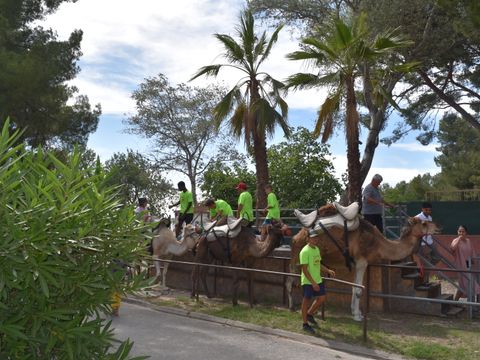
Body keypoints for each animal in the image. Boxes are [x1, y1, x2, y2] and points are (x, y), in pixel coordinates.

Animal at [286, 208, 440, 320]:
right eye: (424, 223)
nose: (439, 227)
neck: (378, 243)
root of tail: (296, 236)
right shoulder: (362, 262)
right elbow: (359, 290)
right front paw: (357, 316)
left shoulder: (357, 264)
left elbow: (355, 288)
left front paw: (355, 312)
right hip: (298, 256)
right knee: (290, 280)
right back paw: (292, 307)